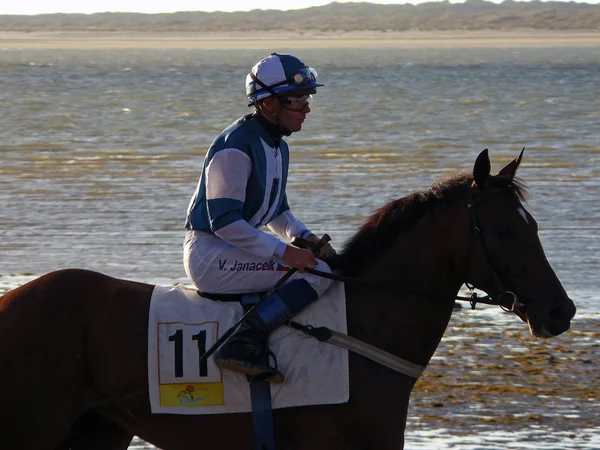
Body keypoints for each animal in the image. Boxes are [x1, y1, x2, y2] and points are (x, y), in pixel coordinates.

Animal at [0, 149, 576, 448]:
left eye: (533, 225)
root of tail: (12, 302)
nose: (562, 311)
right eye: (504, 231)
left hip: (95, 431)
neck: (361, 333)